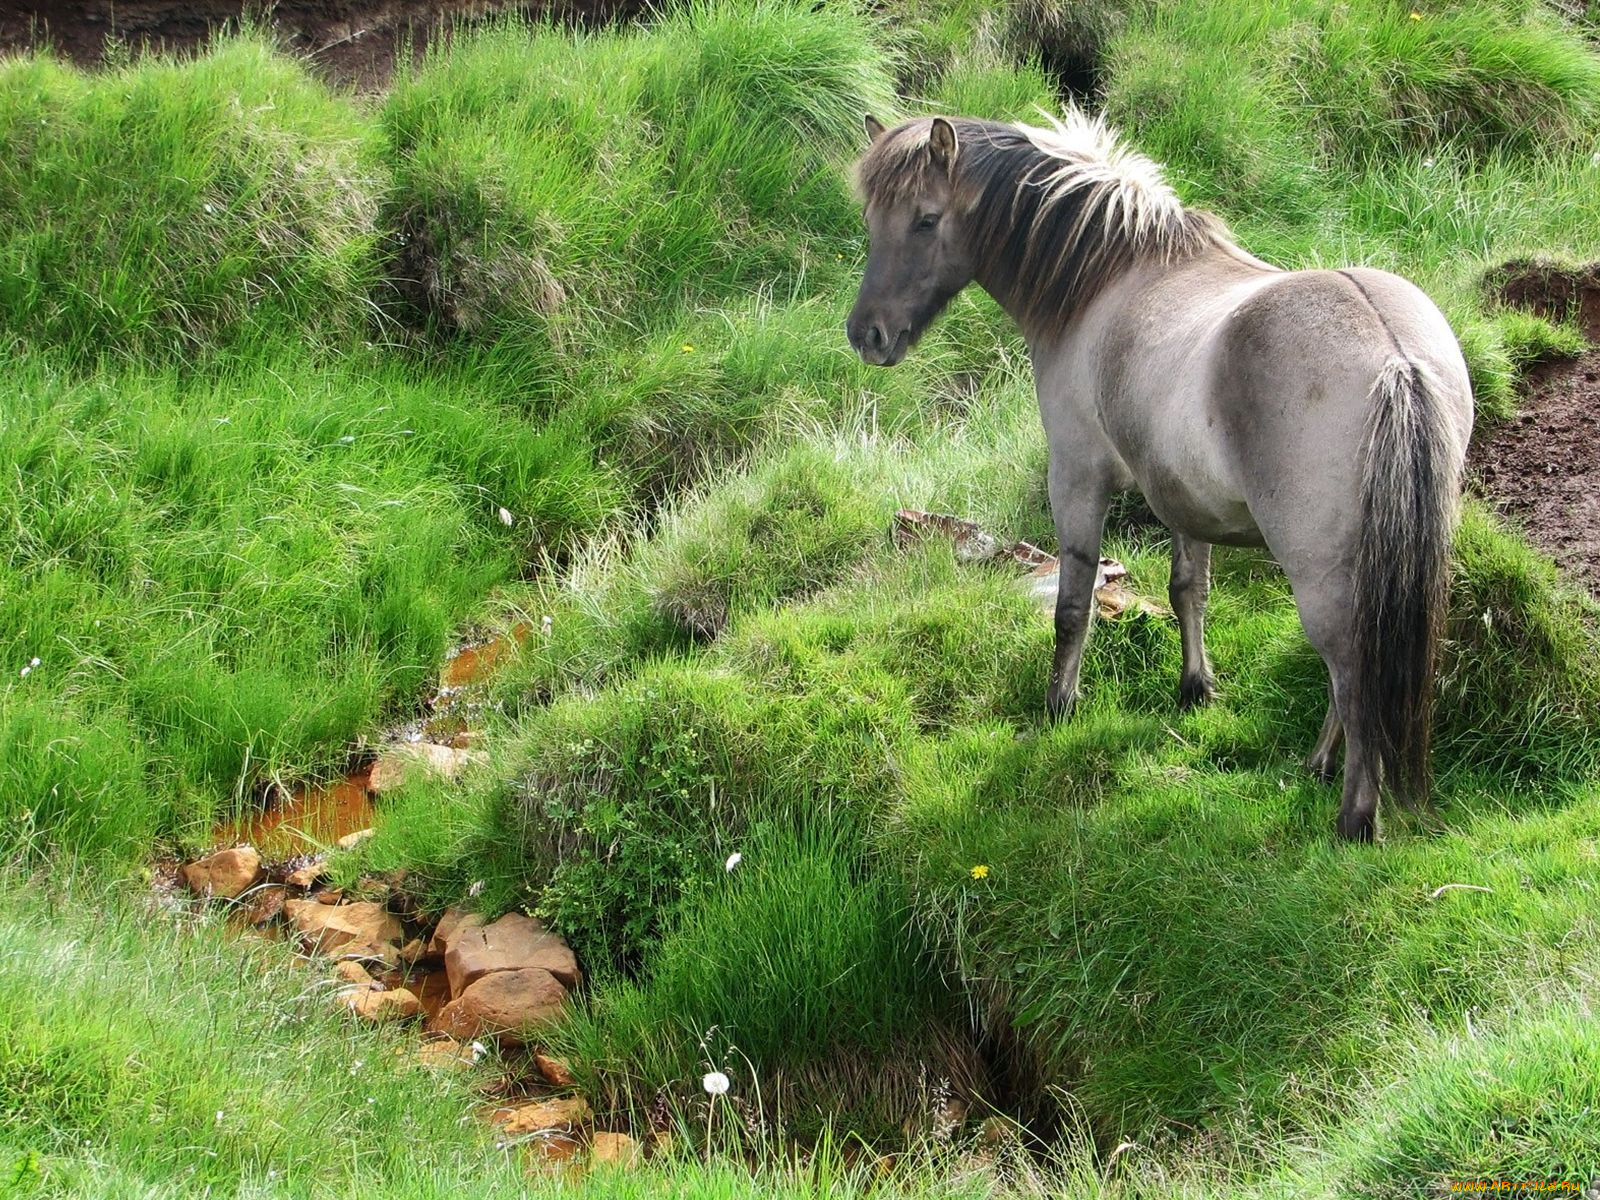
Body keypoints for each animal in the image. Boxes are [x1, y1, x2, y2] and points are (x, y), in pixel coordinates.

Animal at [851, 115, 1472, 844]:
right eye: (871, 219)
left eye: (925, 220)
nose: (867, 334)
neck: (1109, 279)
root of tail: (1396, 357)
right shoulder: (1184, 498)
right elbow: (1188, 591)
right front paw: (1195, 688)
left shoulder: (1076, 476)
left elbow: (1074, 604)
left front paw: (1060, 704)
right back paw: (1319, 767)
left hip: (1322, 571)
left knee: (1351, 669)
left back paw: (1353, 816)